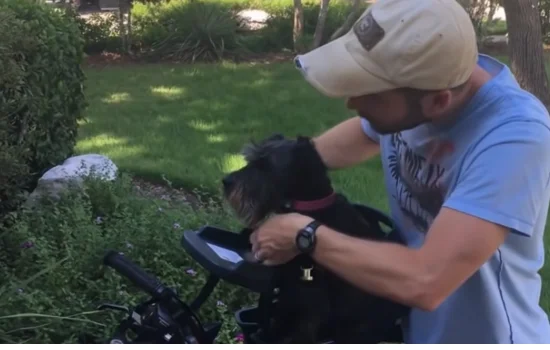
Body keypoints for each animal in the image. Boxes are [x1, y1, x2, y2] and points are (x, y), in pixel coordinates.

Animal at [222, 134, 408, 344]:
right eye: (250, 159)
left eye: (265, 165)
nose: (226, 181)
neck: (310, 206)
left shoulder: (308, 295)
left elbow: (300, 328)